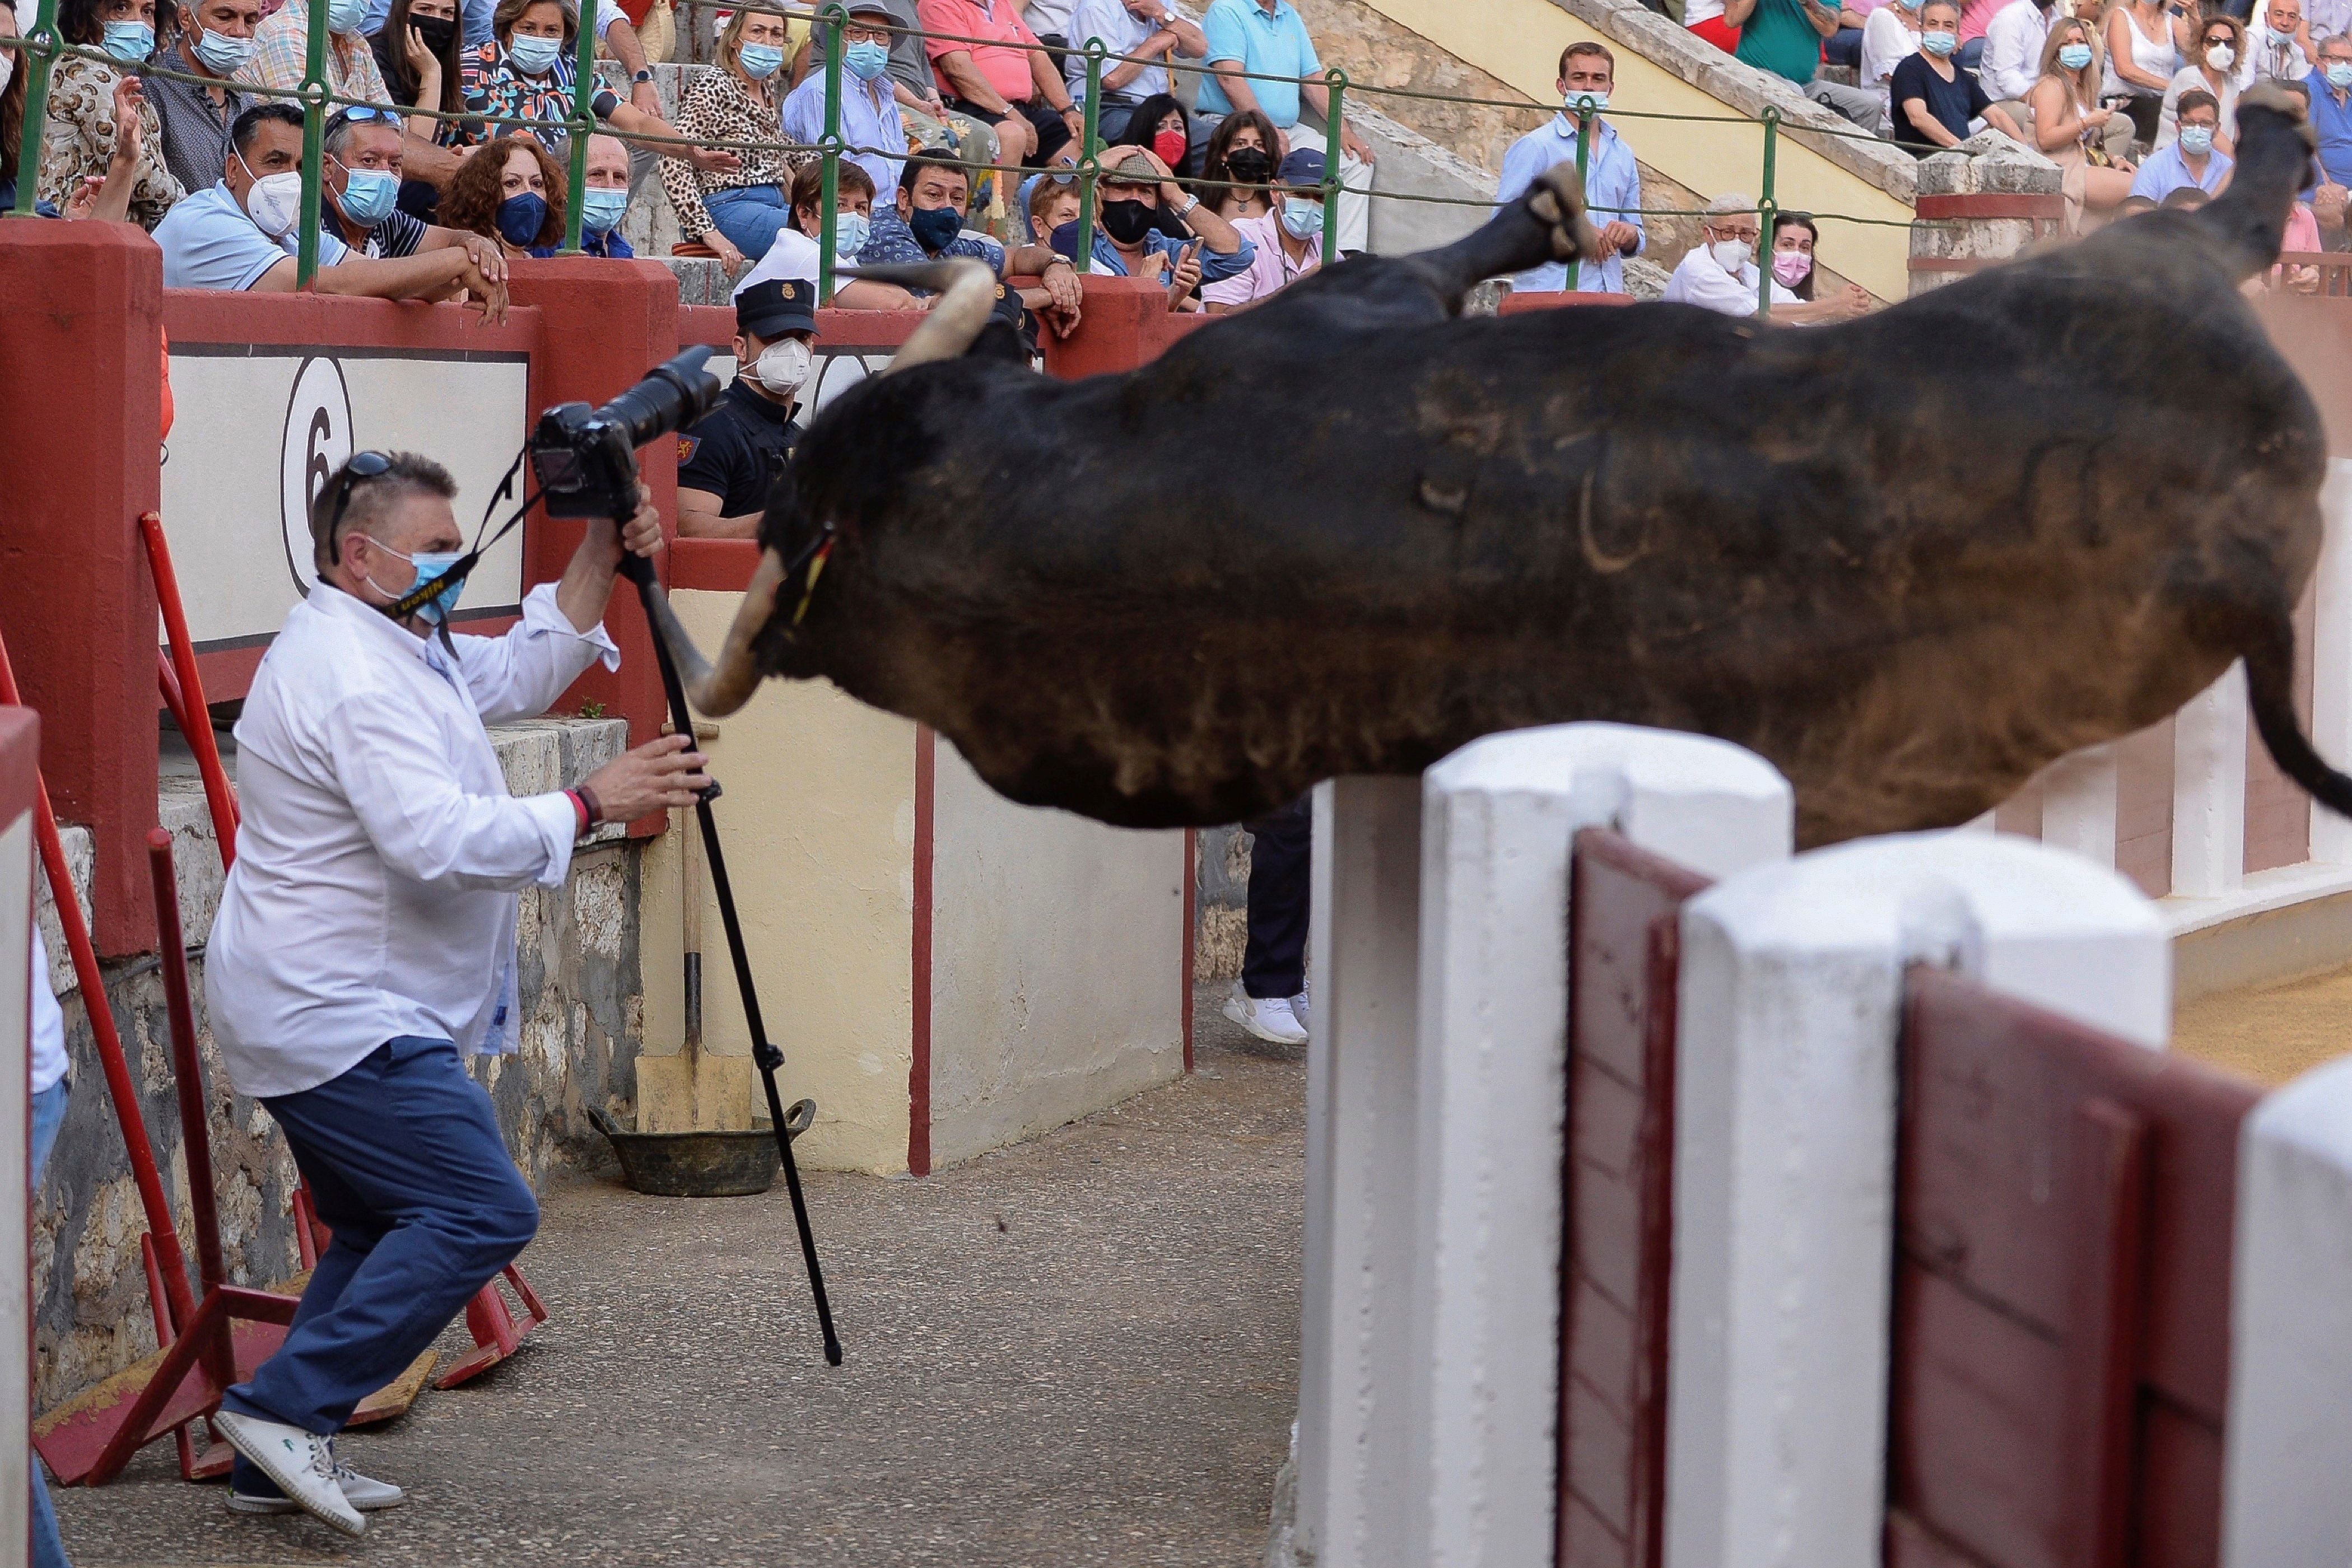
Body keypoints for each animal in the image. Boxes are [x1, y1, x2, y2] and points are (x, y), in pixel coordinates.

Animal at [654, 85, 2352, 846]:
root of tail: (2235, 532)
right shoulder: (1343, 309)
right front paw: (1539, 213)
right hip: (2144, 264)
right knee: (2217, 217)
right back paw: (2269, 127)